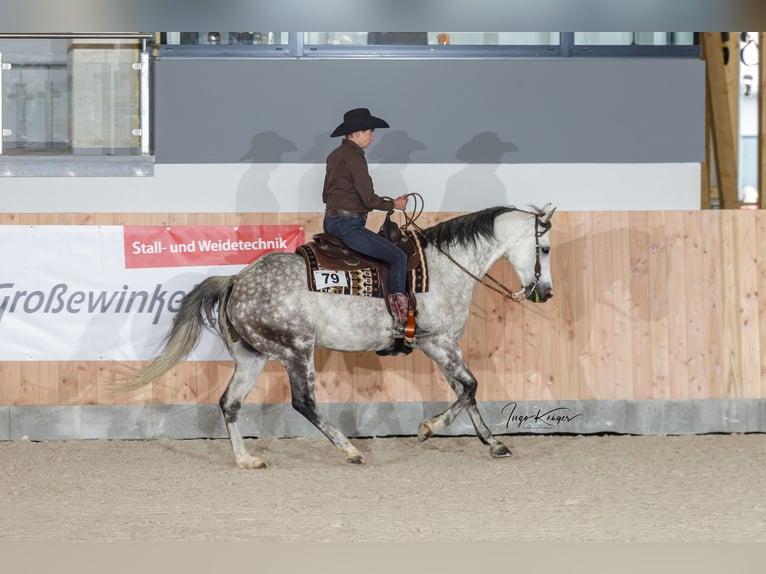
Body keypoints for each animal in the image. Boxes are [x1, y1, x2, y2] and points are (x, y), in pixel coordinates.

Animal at [126, 205, 560, 470]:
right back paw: (350, 450)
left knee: (229, 403)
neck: (442, 268)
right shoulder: (437, 342)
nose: (547, 292)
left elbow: (465, 390)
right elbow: (469, 386)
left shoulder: (445, 346)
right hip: (296, 350)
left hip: (253, 357)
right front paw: (427, 429)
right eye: (544, 247)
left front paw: (494, 443)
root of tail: (236, 279)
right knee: (303, 402)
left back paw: (246, 460)